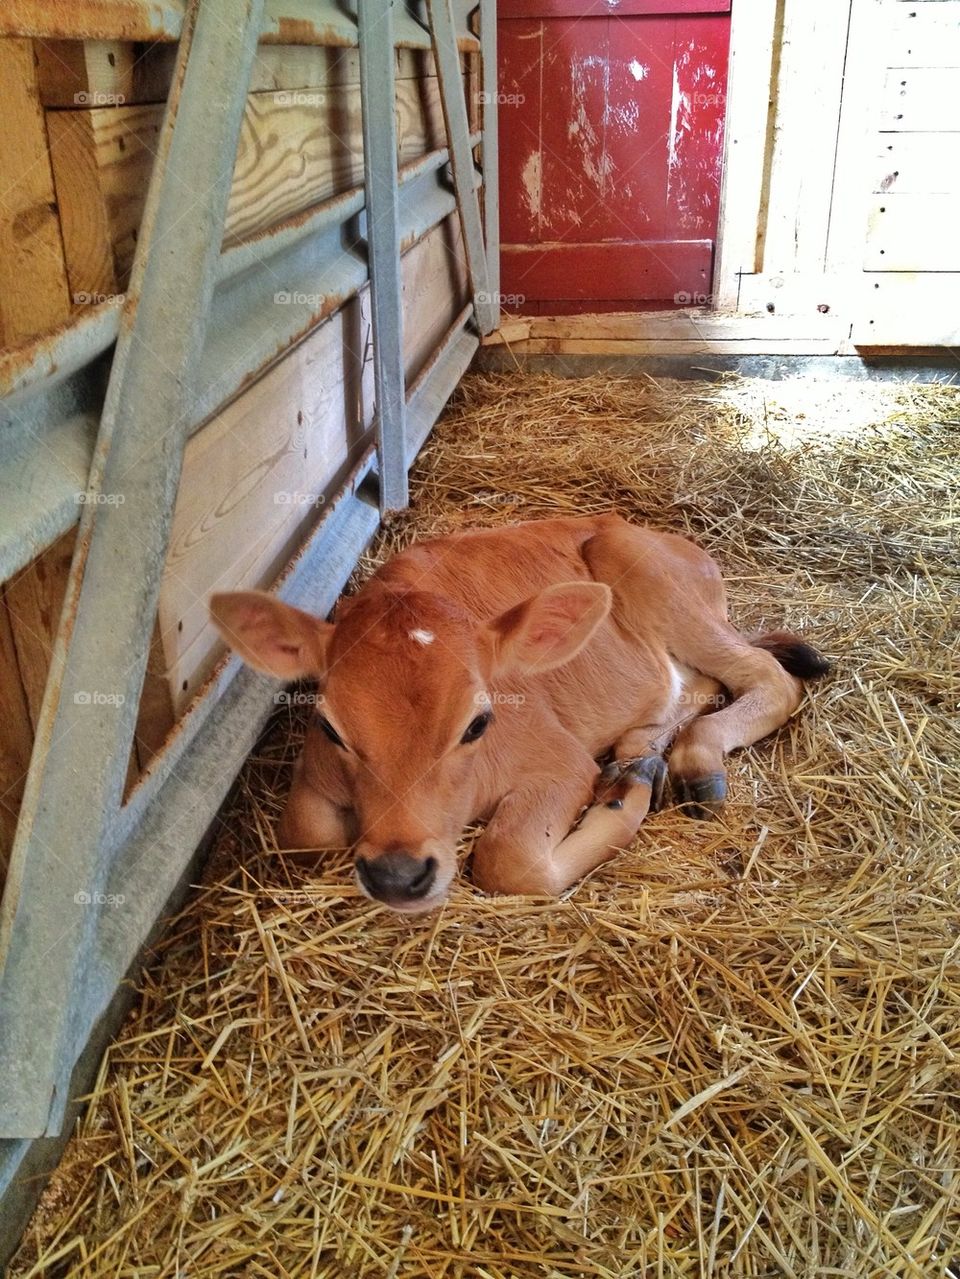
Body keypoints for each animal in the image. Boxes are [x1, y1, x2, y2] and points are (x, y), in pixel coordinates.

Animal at [210, 514, 828, 914]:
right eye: (329, 726)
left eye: (479, 723)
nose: (397, 875)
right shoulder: (313, 781)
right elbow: (306, 834)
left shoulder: (560, 762)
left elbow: (508, 860)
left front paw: (622, 803)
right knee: (692, 683)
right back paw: (638, 753)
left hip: (646, 573)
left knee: (766, 676)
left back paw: (690, 766)